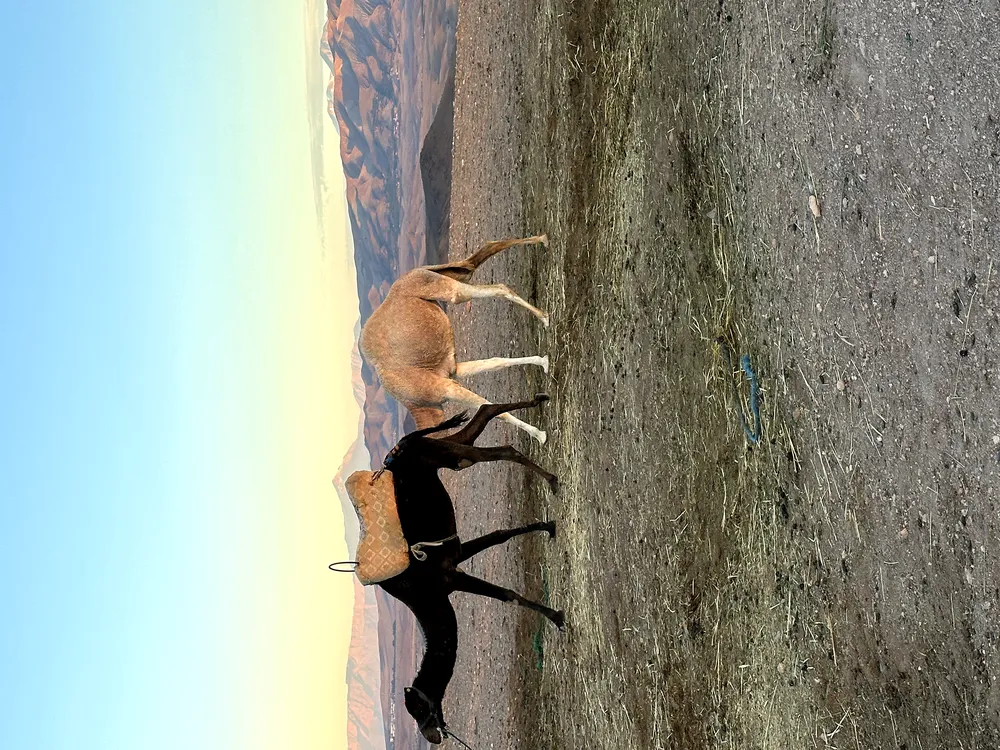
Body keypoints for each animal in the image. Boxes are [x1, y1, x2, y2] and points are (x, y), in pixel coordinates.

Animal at [360, 235, 551, 443]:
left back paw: (545, 317)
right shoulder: (453, 371)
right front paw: (544, 361)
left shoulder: (446, 388)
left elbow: (494, 411)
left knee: (496, 287)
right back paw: (543, 240)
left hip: (446, 286)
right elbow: (496, 362)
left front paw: (540, 435)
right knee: (479, 256)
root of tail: (412, 273)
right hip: (448, 272)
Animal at [371, 396, 564, 744]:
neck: (423, 597)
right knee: (481, 420)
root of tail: (400, 445)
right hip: (442, 450)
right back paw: (539, 402)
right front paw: (548, 526)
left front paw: (557, 616)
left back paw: (552, 478)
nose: (433, 736)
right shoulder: (456, 557)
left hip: (446, 455)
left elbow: (507, 594)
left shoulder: (449, 576)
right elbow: (499, 536)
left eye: (418, 708)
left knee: (498, 450)